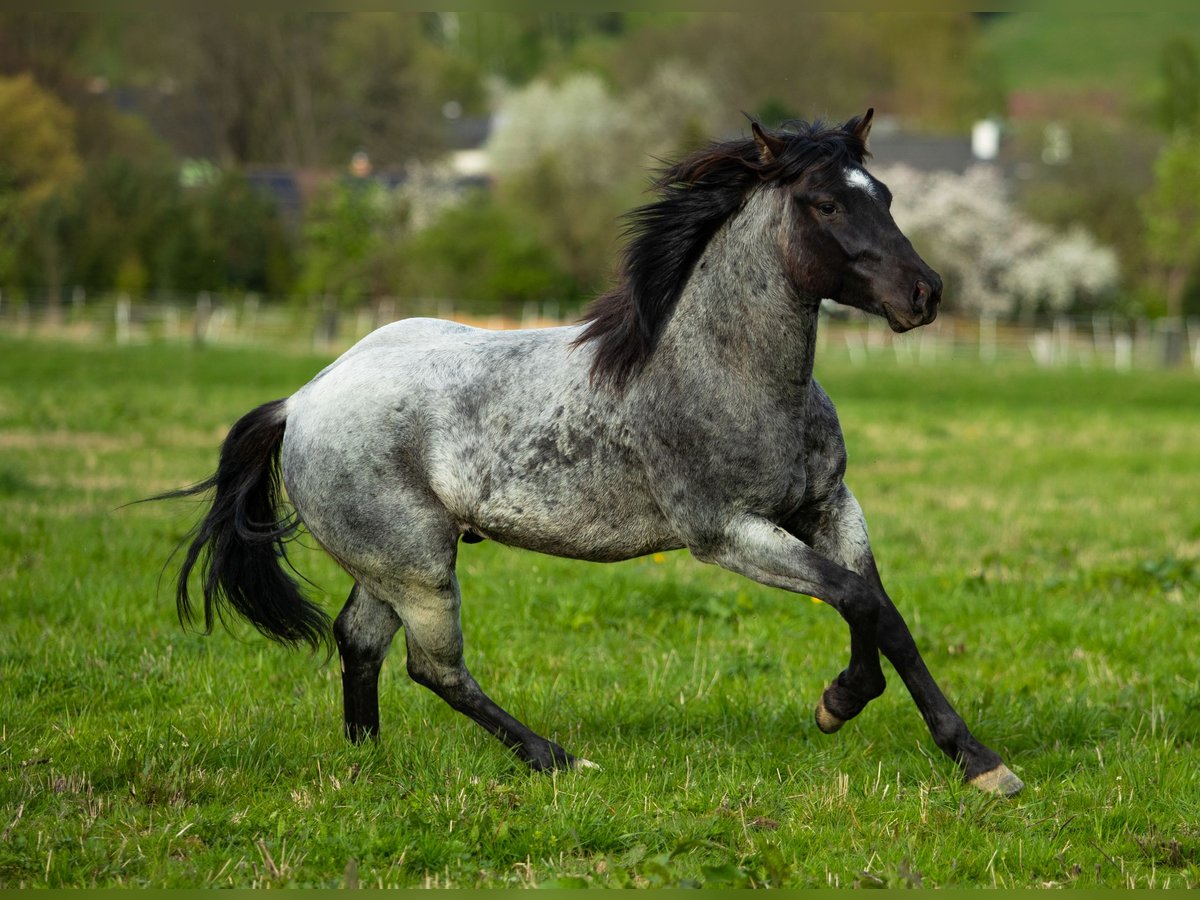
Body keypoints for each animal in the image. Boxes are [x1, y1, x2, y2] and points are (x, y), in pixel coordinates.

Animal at [162, 111, 1022, 796]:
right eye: (826, 202)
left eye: (885, 194)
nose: (925, 293)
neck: (730, 372)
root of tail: (301, 401)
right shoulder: (727, 534)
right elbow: (859, 600)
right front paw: (912, 735)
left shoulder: (828, 506)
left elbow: (877, 607)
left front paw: (922, 735)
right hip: (416, 563)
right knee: (432, 668)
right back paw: (556, 759)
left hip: (390, 564)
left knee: (361, 642)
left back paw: (368, 760)